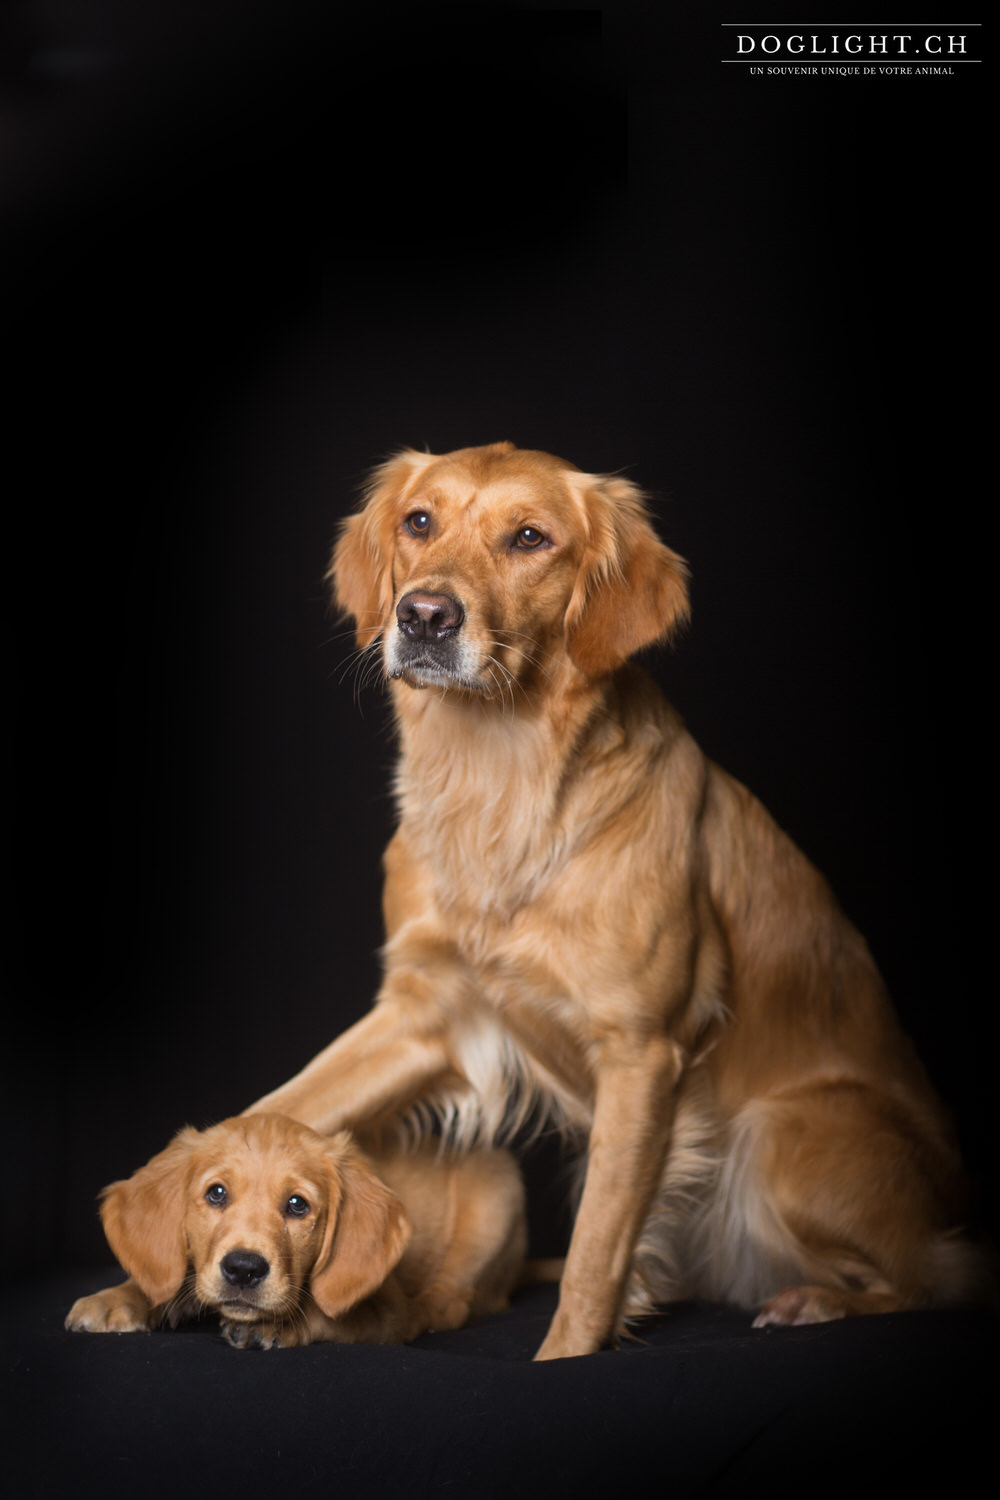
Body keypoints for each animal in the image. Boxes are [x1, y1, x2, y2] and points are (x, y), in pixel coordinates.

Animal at [66, 1116, 527, 1350]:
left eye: (297, 1205)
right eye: (216, 1193)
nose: (243, 1269)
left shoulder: (386, 1308)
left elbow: (325, 1314)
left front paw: (276, 1326)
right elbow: (165, 1279)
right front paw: (117, 1299)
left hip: (496, 1198)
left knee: (451, 1303)